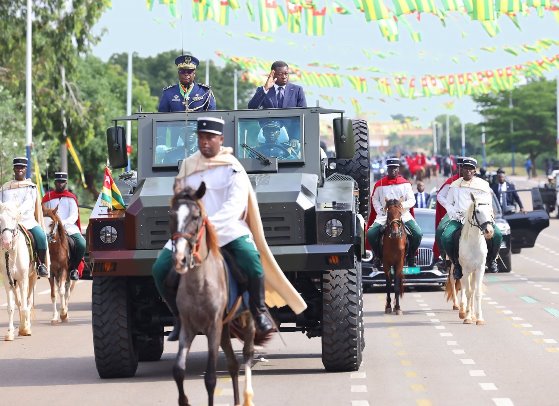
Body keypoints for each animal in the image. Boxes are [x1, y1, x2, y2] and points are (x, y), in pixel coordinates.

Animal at [0, 201, 37, 341]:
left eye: (14, 218)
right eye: (0, 219)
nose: (6, 242)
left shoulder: (23, 279)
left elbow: (25, 305)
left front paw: (26, 329)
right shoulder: (7, 280)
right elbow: (11, 307)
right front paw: (10, 332)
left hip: (32, 277)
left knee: (28, 301)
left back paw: (26, 325)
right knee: (19, 302)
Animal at [170, 182, 258, 406]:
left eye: (196, 216)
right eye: (171, 215)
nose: (180, 259)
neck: (199, 284)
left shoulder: (213, 327)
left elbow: (210, 378)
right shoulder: (189, 328)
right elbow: (178, 370)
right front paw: (184, 400)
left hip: (247, 319)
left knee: (247, 354)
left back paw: (247, 396)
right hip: (224, 328)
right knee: (233, 363)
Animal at [444, 193, 494, 325]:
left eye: (490, 210)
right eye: (477, 211)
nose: (489, 231)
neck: (474, 243)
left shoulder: (479, 269)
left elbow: (476, 292)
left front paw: (479, 318)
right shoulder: (465, 270)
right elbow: (467, 291)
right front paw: (467, 317)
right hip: (456, 267)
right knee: (454, 281)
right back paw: (460, 308)